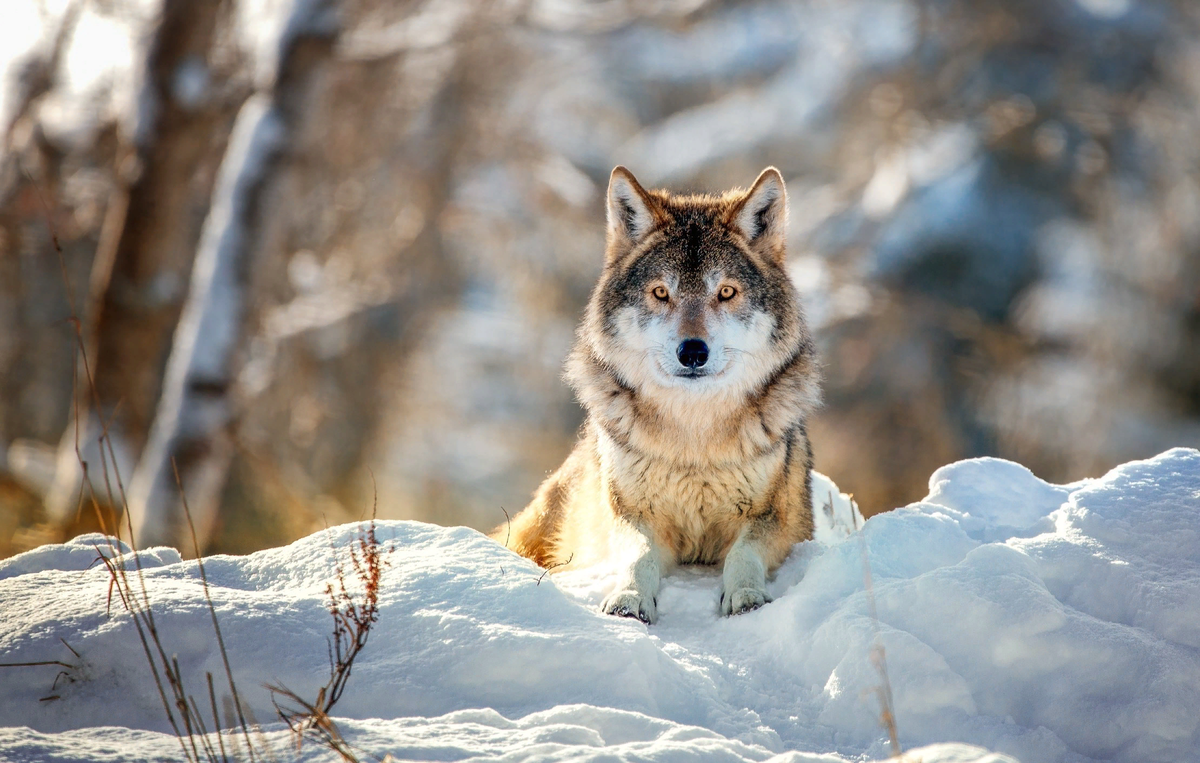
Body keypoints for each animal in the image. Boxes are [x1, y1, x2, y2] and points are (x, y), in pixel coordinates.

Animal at [492, 165, 820, 619]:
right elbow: (639, 557)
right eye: (661, 292)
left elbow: (743, 554)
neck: (693, 444)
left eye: (726, 292)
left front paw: (746, 595)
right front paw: (630, 599)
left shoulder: (777, 520)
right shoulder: (630, 516)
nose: (693, 351)